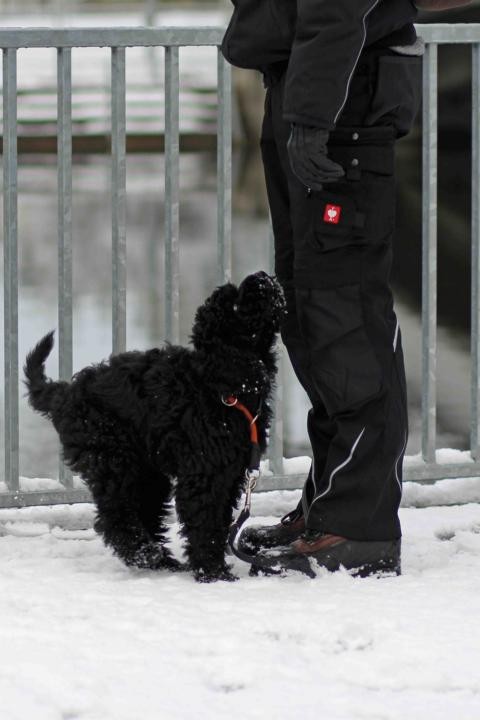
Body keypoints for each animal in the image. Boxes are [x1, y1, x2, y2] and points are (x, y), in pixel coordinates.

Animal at [23, 272, 284, 584]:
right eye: (235, 303)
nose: (261, 276)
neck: (221, 387)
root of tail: (66, 393)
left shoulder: (229, 473)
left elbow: (219, 519)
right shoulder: (205, 473)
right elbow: (206, 520)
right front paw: (213, 572)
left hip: (146, 470)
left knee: (142, 510)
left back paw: (163, 561)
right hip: (113, 459)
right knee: (115, 515)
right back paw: (146, 554)